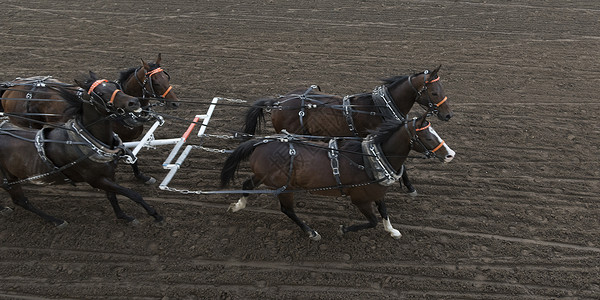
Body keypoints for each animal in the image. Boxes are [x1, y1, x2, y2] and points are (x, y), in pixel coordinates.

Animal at [0, 72, 163, 227]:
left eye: (113, 85)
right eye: (100, 93)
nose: (133, 102)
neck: (89, 140)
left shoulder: (108, 173)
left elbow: (112, 194)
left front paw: (124, 216)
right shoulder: (96, 179)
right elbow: (132, 194)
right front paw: (155, 214)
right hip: (8, 179)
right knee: (21, 201)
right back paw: (57, 221)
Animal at [221, 113, 454, 240]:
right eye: (427, 136)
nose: (450, 154)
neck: (370, 159)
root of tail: (260, 142)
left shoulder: (377, 193)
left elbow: (384, 212)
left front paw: (392, 230)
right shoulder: (360, 199)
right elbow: (372, 221)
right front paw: (344, 229)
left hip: (265, 177)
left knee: (247, 183)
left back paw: (237, 205)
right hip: (285, 188)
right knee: (287, 209)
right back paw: (311, 232)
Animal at [241, 66, 452, 197]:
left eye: (442, 88)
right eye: (434, 92)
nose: (448, 115)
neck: (377, 107)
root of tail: (278, 102)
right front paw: (410, 187)